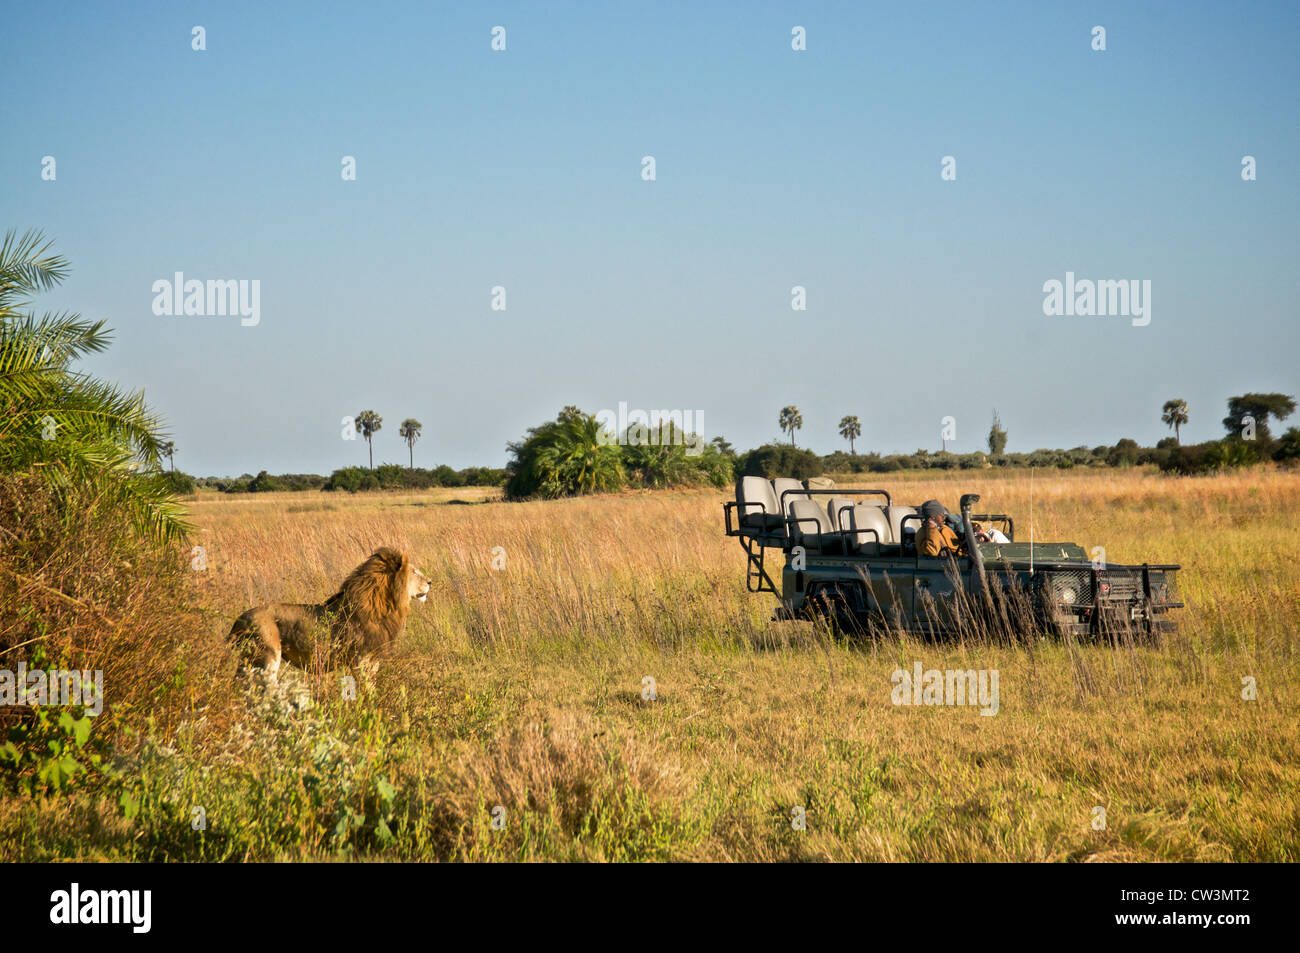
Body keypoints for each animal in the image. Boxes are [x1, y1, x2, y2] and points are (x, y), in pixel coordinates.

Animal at [228, 547, 430, 686]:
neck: (385, 606)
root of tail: (240, 619)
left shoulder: (373, 660)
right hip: (267, 657)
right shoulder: (361, 660)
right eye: (413, 571)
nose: (430, 581)